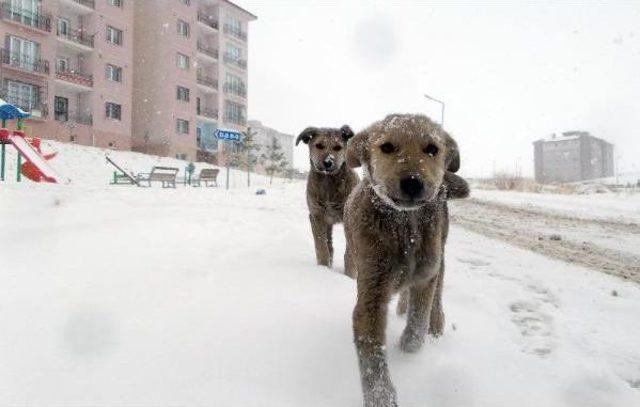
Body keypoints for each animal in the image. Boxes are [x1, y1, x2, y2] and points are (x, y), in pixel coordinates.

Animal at [296, 126, 360, 276]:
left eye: (338, 147)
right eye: (319, 145)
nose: (328, 162)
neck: (328, 181)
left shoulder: (349, 219)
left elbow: (350, 253)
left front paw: (349, 275)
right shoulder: (317, 216)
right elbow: (321, 245)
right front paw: (323, 268)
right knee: (329, 244)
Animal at [344, 113, 470, 406]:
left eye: (432, 149)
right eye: (387, 147)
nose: (413, 182)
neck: (405, 225)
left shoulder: (425, 275)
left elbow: (419, 320)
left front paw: (408, 348)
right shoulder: (372, 290)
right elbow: (371, 351)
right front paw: (380, 397)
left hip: (439, 256)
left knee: (437, 293)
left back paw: (436, 323)